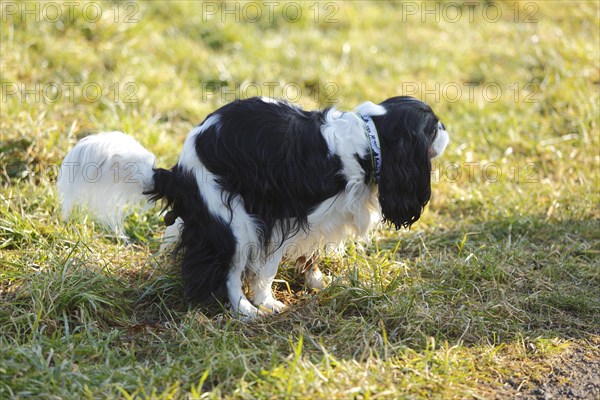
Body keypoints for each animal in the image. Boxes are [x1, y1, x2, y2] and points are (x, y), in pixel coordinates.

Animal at [57, 95, 450, 318]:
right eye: (434, 127)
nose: (448, 128)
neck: (368, 141)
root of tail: (179, 172)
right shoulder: (280, 217)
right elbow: (266, 269)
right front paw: (266, 301)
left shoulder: (320, 219)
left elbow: (310, 252)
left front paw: (315, 280)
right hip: (235, 223)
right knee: (230, 273)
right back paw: (245, 310)